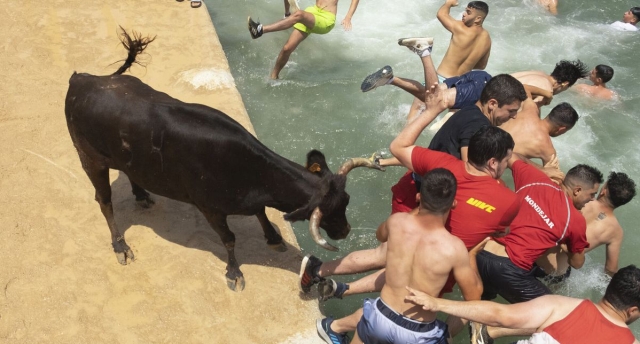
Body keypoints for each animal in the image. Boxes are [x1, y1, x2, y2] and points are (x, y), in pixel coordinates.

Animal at [65, 31, 382, 290]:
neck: (252, 175)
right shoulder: (210, 207)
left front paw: (274, 239)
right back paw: (120, 245)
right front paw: (234, 273)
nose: (346, 230)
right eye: (328, 213)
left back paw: (142, 195)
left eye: (347, 200)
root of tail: (83, 79)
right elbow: (229, 238)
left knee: (131, 173)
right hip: (89, 158)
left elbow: (261, 213)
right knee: (104, 201)